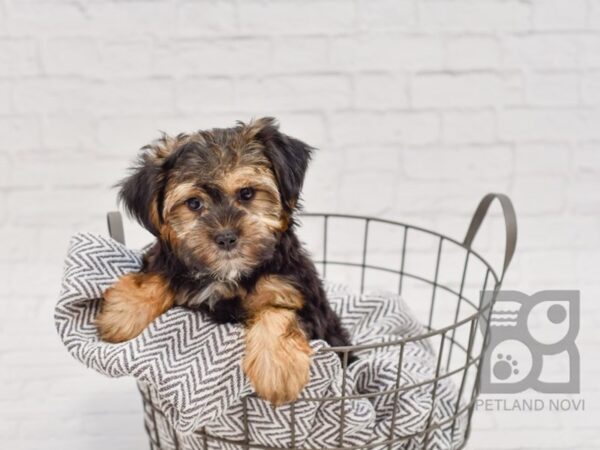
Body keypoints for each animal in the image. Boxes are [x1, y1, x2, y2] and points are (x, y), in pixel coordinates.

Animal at [96, 118, 354, 406]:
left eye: (247, 193)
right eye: (193, 203)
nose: (226, 237)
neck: (230, 275)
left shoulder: (296, 293)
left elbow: (277, 312)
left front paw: (278, 370)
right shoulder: (176, 257)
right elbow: (161, 271)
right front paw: (122, 313)